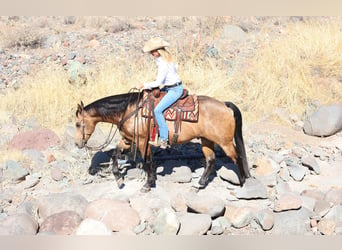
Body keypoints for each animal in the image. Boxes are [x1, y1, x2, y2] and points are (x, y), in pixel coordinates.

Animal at [75, 89, 251, 192]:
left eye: (77, 124)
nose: (77, 144)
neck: (129, 110)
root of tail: (225, 105)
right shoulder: (127, 140)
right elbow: (115, 155)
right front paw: (119, 179)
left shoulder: (142, 141)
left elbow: (147, 161)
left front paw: (148, 184)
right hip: (207, 140)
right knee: (210, 160)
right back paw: (199, 184)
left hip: (225, 142)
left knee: (237, 157)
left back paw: (243, 183)